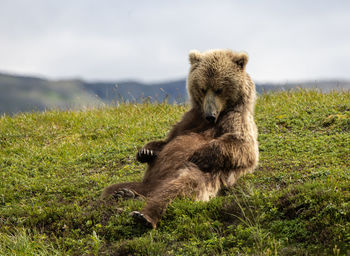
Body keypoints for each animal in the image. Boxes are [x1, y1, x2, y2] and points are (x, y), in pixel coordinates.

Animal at [101, 49, 258, 229]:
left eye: (219, 89)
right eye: (203, 88)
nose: (210, 115)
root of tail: (151, 188)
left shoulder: (237, 119)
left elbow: (243, 146)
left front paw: (200, 154)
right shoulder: (190, 119)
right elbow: (168, 140)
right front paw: (146, 152)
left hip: (196, 175)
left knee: (180, 187)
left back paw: (144, 215)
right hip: (144, 183)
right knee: (111, 189)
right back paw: (124, 193)